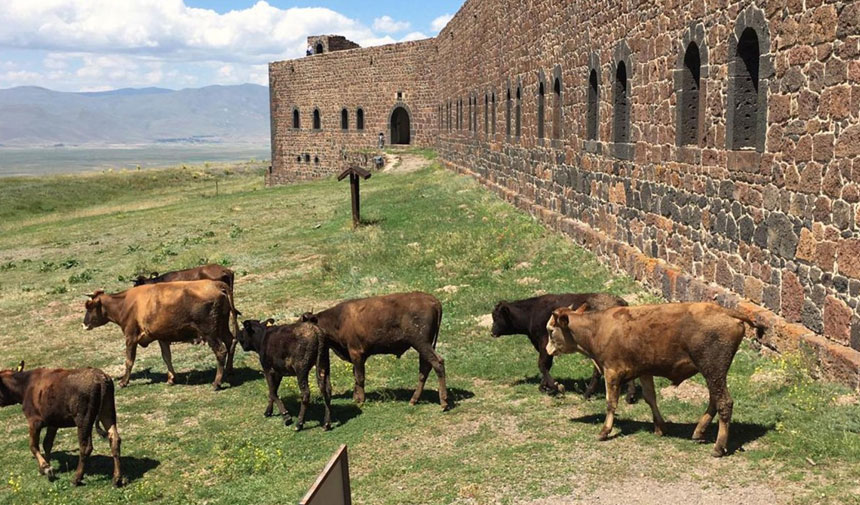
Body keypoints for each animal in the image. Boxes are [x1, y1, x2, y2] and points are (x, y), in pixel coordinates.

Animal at [83, 280, 233, 390]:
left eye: (89, 307)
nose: (84, 324)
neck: (124, 303)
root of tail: (217, 284)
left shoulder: (131, 337)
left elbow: (129, 361)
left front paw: (123, 382)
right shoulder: (162, 337)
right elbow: (167, 357)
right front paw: (171, 378)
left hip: (210, 332)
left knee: (221, 351)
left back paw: (216, 383)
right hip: (223, 326)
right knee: (230, 341)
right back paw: (229, 371)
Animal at [300, 292, 450, 410]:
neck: (338, 319)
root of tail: (434, 301)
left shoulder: (356, 353)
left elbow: (360, 377)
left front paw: (360, 400)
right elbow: (356, 375)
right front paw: (356, 397)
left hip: (421, 343)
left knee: (437, 363)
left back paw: (443, 403)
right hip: (424, 346)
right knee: (424, 368)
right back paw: (414, 400)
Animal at [548, 302, 764, 458]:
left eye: (551, 330)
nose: (547, 350)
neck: (598, 327)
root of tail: (726, 312)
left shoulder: (612, 371)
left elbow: (611, 403)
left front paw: (604, 431)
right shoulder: (644, 370)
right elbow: (650, 398)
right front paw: (660, 427)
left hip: (713, 369)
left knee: (724, 402)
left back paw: (718, 447)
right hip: (713, 372)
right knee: (714, 400)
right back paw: (699, 431)